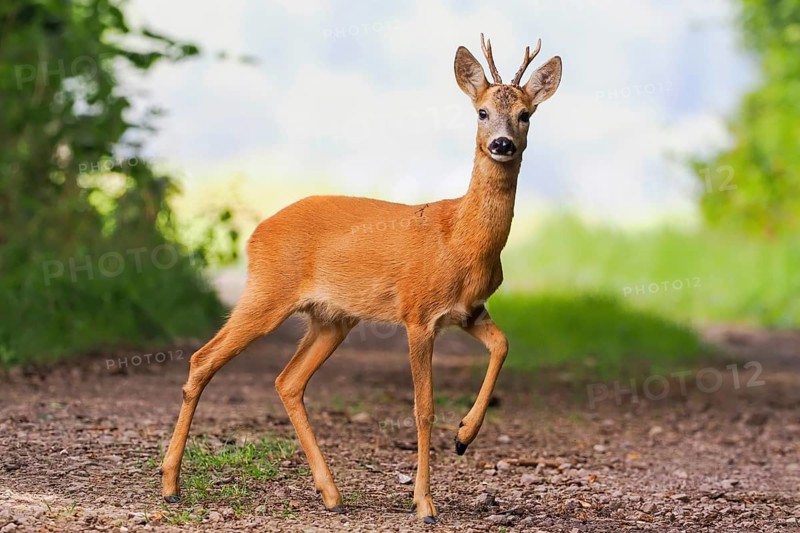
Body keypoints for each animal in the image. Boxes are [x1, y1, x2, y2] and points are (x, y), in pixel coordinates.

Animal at [160, 34, 561, 524]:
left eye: (526, 114)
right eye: (482, 112)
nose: (503, 144)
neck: (461, 239)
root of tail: (256, 233)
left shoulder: (470, 311)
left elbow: (502, 345)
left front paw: (464, 435)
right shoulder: (418, 313)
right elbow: (423, 408)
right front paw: (424, 504)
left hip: (332, 318)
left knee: (287, 381)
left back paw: (331, 493)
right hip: (267, 291)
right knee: (204, 359)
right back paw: (170, 485)